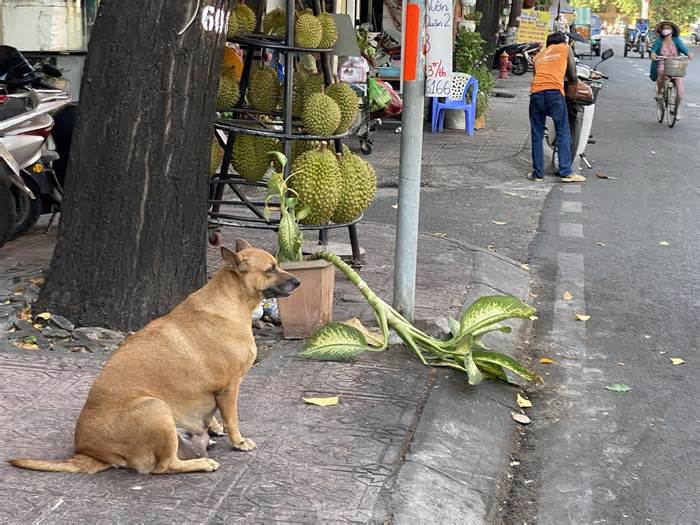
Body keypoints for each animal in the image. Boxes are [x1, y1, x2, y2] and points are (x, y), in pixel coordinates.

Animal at [8, 239, 298, 472]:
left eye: (277, 265)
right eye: (270, 269)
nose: (298, 281)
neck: (231, 299)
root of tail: (87, 453)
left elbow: (214, 413)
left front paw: (214, 426)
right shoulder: (229, 388)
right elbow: (232, 420)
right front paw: (238, 441)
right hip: (156, 408)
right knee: (165, 466)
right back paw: (201, 463)